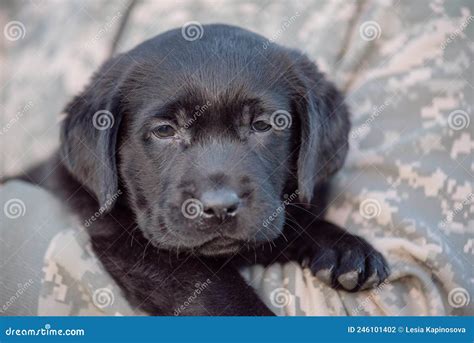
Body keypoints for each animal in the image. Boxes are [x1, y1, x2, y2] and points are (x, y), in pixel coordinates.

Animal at [12, 24, 388, 318]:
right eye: (164, 131)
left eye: (263, 125)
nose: (219, 207)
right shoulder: (126, 244)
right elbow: (217, 292)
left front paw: (345, 248)